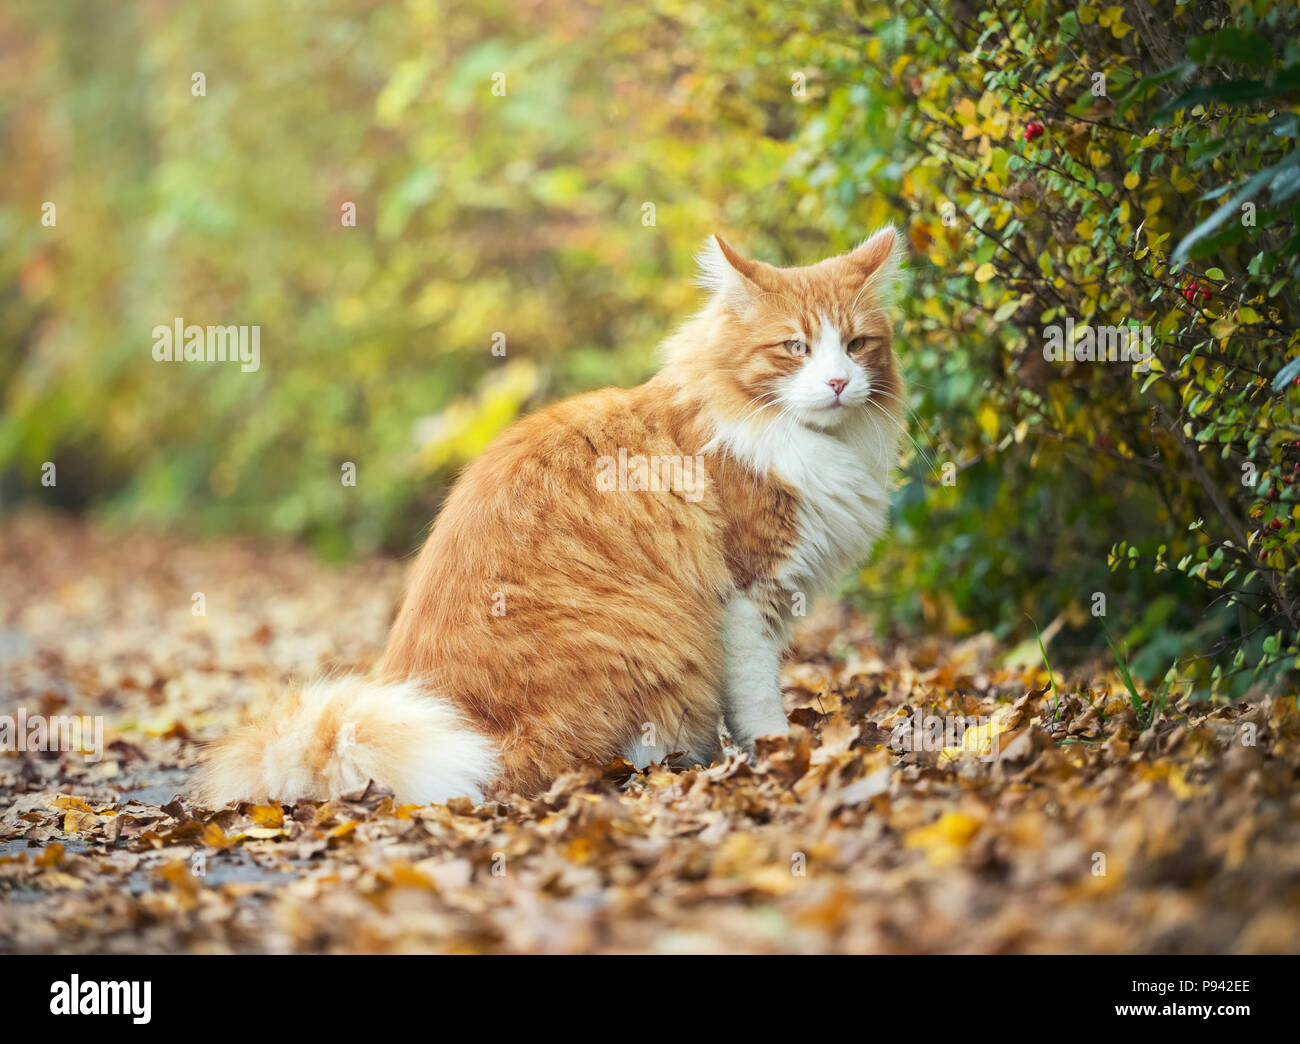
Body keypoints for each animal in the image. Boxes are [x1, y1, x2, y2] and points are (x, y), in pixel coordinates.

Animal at [195, 232, 904, 806]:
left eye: (856, 345)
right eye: (795, 347)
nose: (838, 383)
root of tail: (475, 736)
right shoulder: (747, 598)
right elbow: (759, 704)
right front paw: (782, 759)